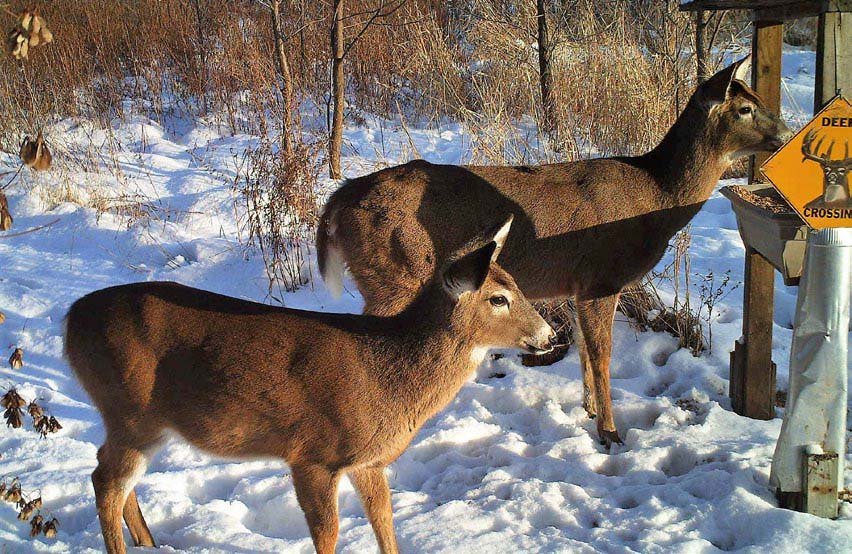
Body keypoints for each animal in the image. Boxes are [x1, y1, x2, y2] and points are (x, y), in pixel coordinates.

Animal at [63, 216, 556, 552]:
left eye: (516, 285)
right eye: (499, 298)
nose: (549, 335)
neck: (387, 377)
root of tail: (69, 322)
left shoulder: (366, 460)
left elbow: (385, 520)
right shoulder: (314, 454)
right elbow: (329, 533)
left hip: (143, 423)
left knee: (115, 480)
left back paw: (151, 545)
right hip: (130, 411)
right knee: (105, 481)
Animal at [318, 56, 792, 444]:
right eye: (745, 108)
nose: (788, 132)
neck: (655, 197)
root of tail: (339, 201)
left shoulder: (576, 285)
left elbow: (583, 348)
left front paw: (589, 411)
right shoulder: (601, 278)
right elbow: (602, 355)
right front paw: (611, 432)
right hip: (394, 274)